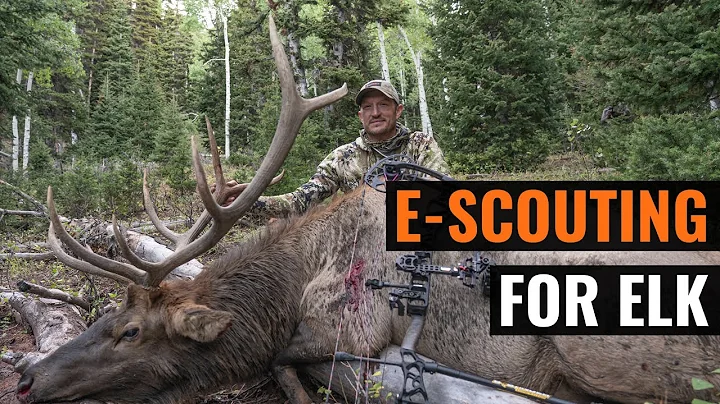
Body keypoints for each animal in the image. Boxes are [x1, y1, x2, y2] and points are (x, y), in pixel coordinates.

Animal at [15, 14, 720, 404]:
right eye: (109, 315)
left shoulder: (352, 335)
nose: (25, 376)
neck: (291, 287)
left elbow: (289, 366)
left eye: (131, 332)